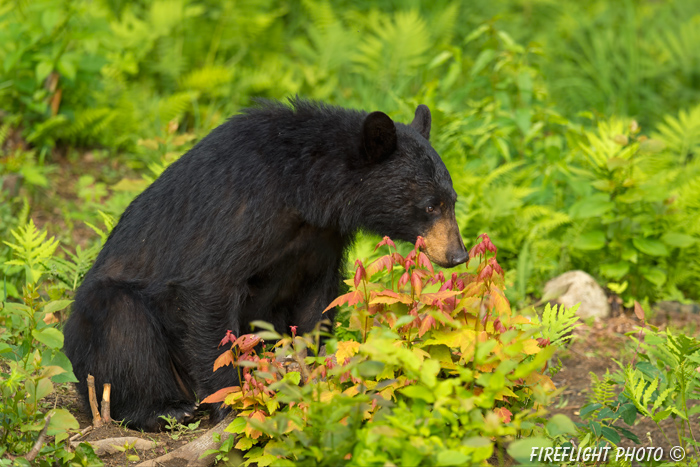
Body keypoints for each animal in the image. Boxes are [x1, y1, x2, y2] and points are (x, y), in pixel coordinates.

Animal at [63, 98, 468, 432]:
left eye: (452, 200)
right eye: (430, 205)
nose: (458, 255)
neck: (304, 191)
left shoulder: (323, 240)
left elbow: (317, 301)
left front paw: (313, 372)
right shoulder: (239, 210)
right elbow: (210, 288)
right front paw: (231, 401)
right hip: (97, 328)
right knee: (123, 327)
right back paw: (165, 409)